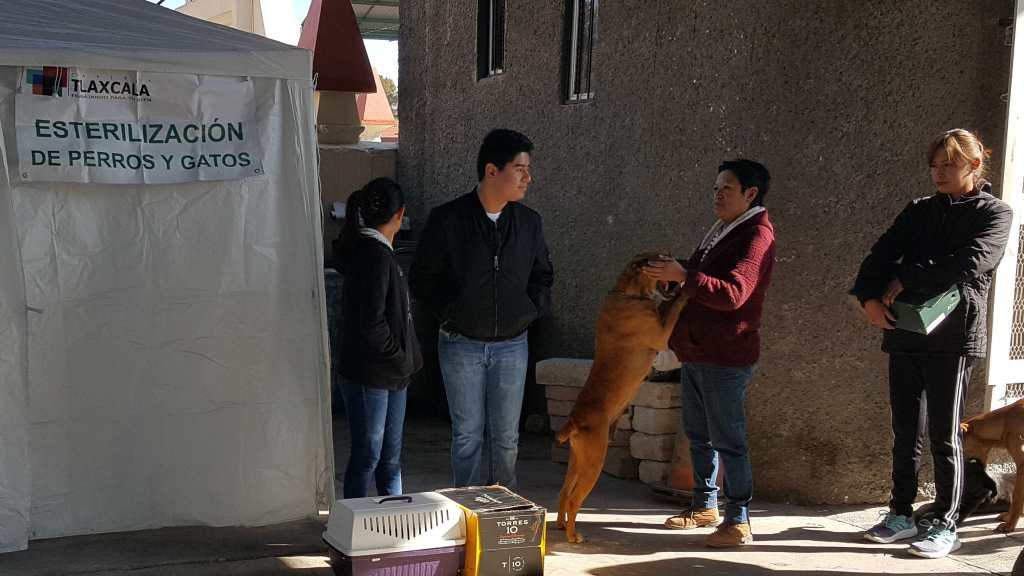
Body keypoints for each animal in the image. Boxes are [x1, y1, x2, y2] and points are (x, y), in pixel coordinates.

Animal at [552, 249, 688, 541]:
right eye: (663, 257)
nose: (684, 263)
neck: (628, 293)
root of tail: (574, 421)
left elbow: (665, 307)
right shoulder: (661, 333)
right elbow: (673, 308)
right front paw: (685, 293)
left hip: (577, 461)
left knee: (563, 493)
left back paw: (560, 526)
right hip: (594, 462)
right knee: (574, 500)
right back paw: (573, 536)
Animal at [958, 399, 1024, 528]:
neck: (1006, 421)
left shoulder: (1022, 464)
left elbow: (1017, 497)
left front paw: (1010, 525)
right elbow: (1015, 495)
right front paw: (1008, 517)